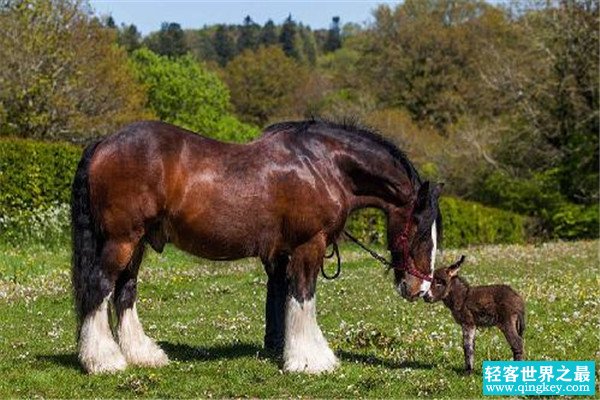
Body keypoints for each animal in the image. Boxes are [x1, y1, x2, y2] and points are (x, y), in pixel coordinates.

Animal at [71, 119, 440, 376]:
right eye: (422, 232)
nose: (420, 289)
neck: (323, 164)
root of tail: (103, 143)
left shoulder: (281, 255)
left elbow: (282, 299)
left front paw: (287, 351)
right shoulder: (308, 245)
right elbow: (303, 296)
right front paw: (311, 360)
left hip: (137, 244)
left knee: (125, 291)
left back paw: (143, 355)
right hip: (122, 240)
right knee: (100, 287)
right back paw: (103, 360)